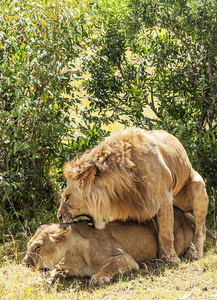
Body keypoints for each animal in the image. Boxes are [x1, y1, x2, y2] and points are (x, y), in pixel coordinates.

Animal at [22, 207, 194, 284]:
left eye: (37, 247)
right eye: (28, 246)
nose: (24, 264)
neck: (71, 257)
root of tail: (180, 211)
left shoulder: (125, 258)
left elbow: (109, 266)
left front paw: (99, 277)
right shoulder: (67, 268)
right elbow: (55, 271)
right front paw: (45, 278)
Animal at [57, 128, 209, 262]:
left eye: (67, 198)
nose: (58, 216)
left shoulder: (164, 198)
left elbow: (166, 233)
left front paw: (170, 258)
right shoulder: (122, 207)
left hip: (197, 186)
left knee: (201, 228)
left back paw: (194, 252)